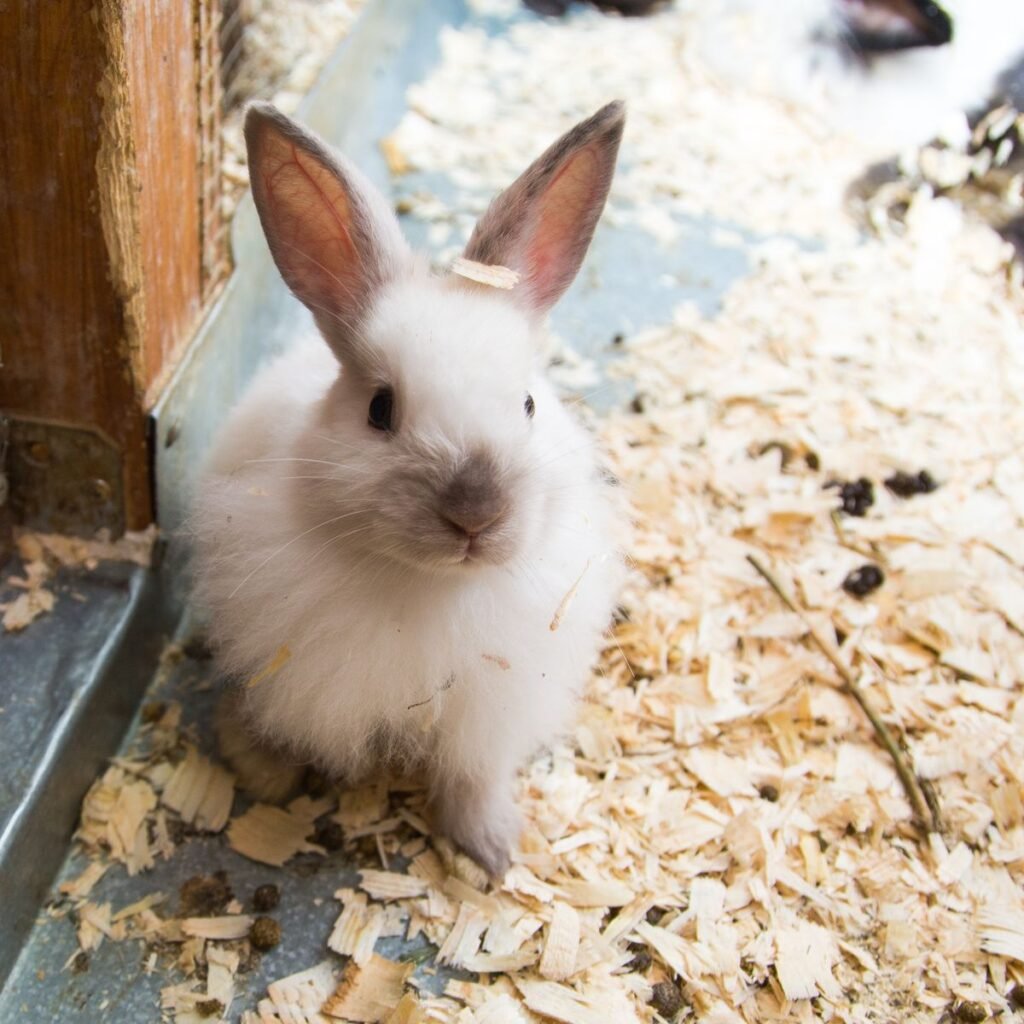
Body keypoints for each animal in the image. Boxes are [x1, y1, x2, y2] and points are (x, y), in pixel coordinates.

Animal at [193, 101, 628, 877]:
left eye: (527, 404)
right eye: (380, 409)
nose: (475, 514)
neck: (431, 589)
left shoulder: (488, 716)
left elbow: (473, 779)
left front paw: (492, 851)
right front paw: (266, 775)